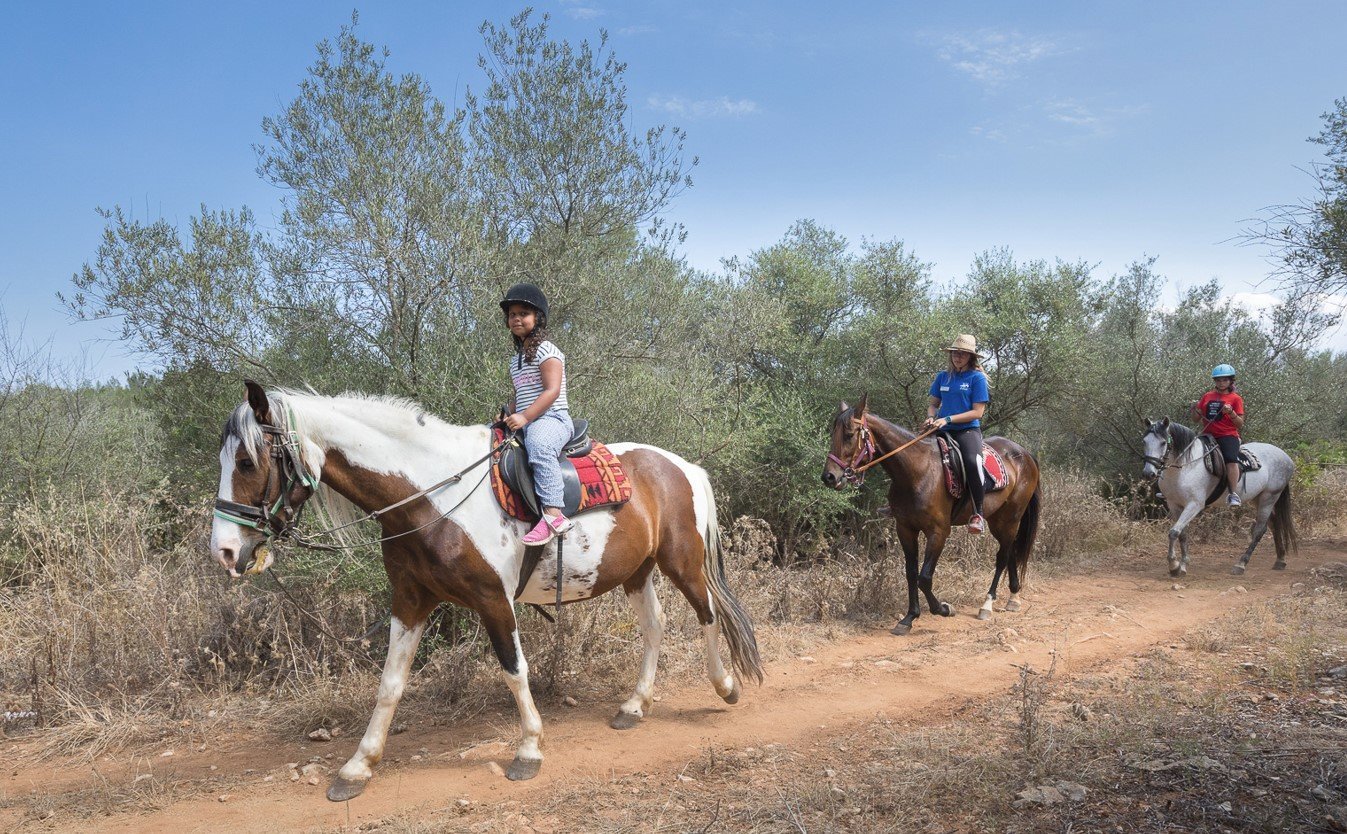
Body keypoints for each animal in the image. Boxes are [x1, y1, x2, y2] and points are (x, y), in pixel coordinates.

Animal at [209, 382, 763, 801]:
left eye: (246, 461)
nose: (225, 551)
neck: (432, 497)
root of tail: (683, 467)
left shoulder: (495, 601)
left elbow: (515, 672)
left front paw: (529, 750)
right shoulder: (410, 602)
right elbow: (390, 684)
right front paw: (358, 766)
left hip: (682, 563)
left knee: (708, 615)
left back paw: (725, 686)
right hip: (636, 572)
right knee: (655, 626)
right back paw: (634, 705)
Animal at [821, 394, 1042, 634]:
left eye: (850, 435)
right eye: (833, 434)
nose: (829, 477)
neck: (917, 471)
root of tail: (1024, 453)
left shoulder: (938, 532)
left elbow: (924, 578)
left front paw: (943, 609)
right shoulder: (905, 529)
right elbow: (911, 574)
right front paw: (909, 617)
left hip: (1010, 517)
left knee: (1002, 556)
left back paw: (987, 604)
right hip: (997, 519)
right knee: (1009, 551)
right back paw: (1014, 597)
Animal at [1139, 417, 1298, 577]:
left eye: (1163, 443)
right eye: (1144, 441)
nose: (1148, 473)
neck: (1185, 466)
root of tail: (1286, 457)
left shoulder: (1194, 505)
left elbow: (1174, 532)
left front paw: (1174, 565)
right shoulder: (1174, 504)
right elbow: (1182, 534)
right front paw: (1181, 565)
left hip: (1269, 496)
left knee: (1260, 530)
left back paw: (1241, 564)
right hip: (1258, 498)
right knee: (1274, 524)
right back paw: (1280, 560)